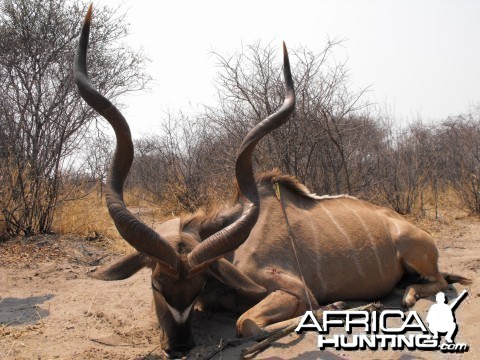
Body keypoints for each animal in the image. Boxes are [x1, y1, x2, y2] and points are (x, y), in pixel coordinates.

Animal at [75, 4, 468, 356]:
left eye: (198, 283)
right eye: (156, 284)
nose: (179, 347)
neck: (233, 253)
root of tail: (403, 224)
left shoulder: (293, 289)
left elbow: (249, 322)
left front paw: (338, 306)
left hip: (413, 251)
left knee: (437, 281)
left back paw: (407, 296)